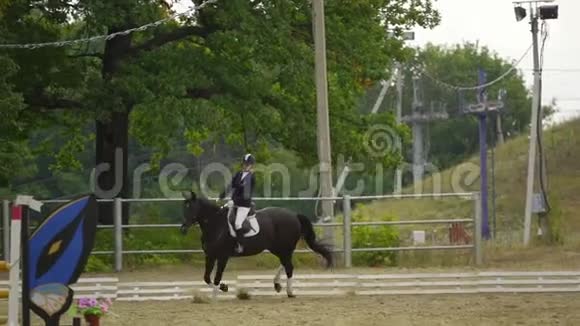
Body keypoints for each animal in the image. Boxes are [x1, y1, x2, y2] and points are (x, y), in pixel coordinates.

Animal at [179, 191, 334, 298]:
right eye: (184, 208)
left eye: (192, 208)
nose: (183, 229)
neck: (216, 224)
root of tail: (294, 215)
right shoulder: (210, 256)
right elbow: (206, 278)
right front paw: (224, 287)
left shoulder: (223, 257)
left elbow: (216, 277)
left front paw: (215, 295)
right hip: (278, 248)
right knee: (285, 264)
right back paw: (277, 285)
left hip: (284, 248)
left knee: (289, 267)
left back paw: (289, 292)